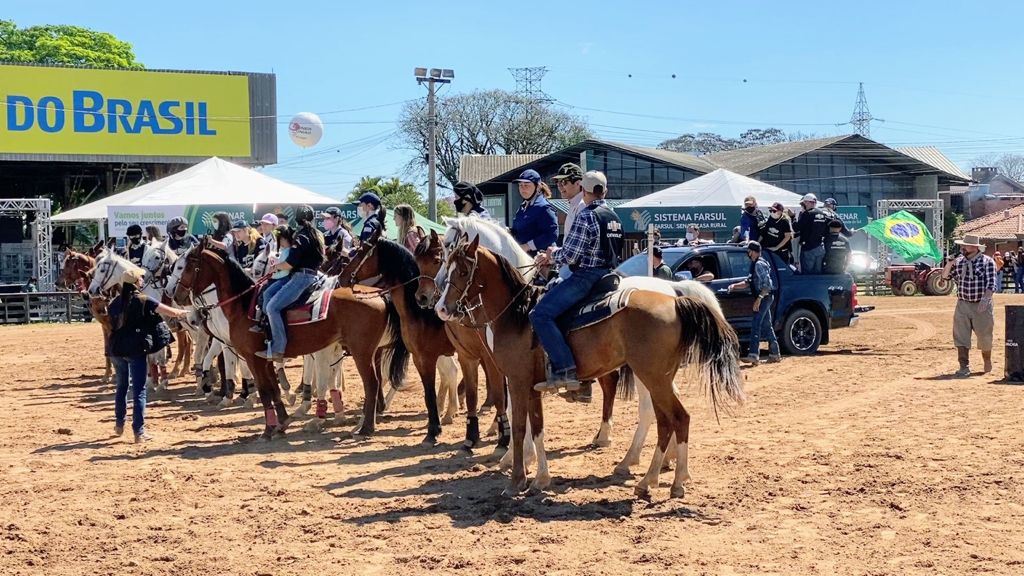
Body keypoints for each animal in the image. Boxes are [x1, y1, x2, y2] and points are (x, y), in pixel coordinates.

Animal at [173, 235, 407, 436]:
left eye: (188, 265)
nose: (177, 295)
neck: (243, 306)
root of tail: (379, 295)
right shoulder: (265, 357)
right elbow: (274, 389)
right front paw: (282, 422)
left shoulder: (252, 357)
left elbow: (266, 390)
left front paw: (269, 429)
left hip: (362, 352)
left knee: (373, 383)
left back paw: (366, 427)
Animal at [434, 235, 745, 500]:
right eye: (446, 263)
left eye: (463, 270)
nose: (441, 308)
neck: (517, 315)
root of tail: (675, 299)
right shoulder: (532, 385)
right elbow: (537, 428)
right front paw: (540, 479)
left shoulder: (518, 380)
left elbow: (521, 427)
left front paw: (516, 481)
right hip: (659, 377)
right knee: (665, 420)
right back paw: (649, 478)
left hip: (653, 377)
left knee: (676, 418)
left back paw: (674, 481)